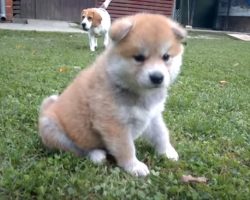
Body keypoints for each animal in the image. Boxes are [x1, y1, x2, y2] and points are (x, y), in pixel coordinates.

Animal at [39, 13, 187, 177]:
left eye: (166, 57)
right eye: (139, 57)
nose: (157, 77)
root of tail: (47, 109)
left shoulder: (152, 115)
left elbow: (161, 134)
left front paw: (167, 151)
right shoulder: (114, 124)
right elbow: (126, 148)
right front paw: (134, 166)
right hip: (52, 128)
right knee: (76, 149)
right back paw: (96, 154)